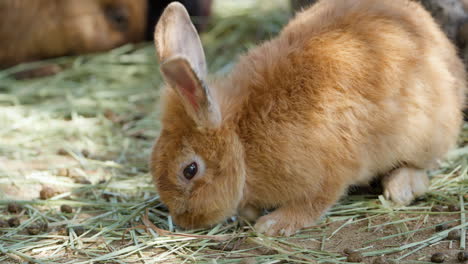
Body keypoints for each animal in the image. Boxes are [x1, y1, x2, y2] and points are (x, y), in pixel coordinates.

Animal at [150, 0, 464, 235]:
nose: (184, 220)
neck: (242, 141)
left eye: (190, 170)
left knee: (424, 165)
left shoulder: (330, 173)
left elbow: (314, 202)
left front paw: (272, 224)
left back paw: (401, 187)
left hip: (424, 135)